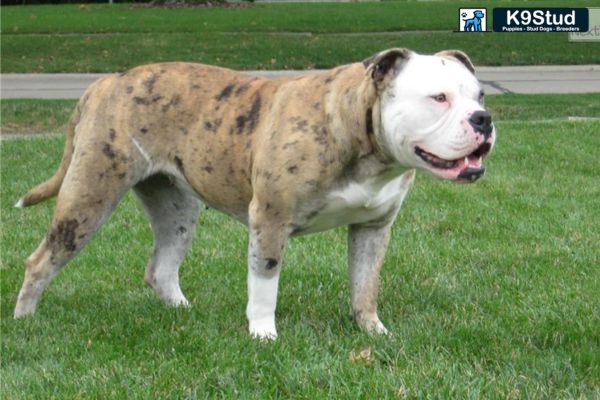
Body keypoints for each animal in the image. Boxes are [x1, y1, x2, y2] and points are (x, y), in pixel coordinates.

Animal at [12, 48, 496, 340]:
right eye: (438, 98)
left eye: (479, 95)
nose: (484, 118)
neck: (363, 140)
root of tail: (108, 81)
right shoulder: (270, 220)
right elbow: (265, 280)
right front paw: (264, 334)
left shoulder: (373, 229)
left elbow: (365, 283)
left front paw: (372, 330)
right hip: (89, 197)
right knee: (41, 260)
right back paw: (24, 321)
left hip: (177, 209)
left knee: (160, 266)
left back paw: (183, 312)